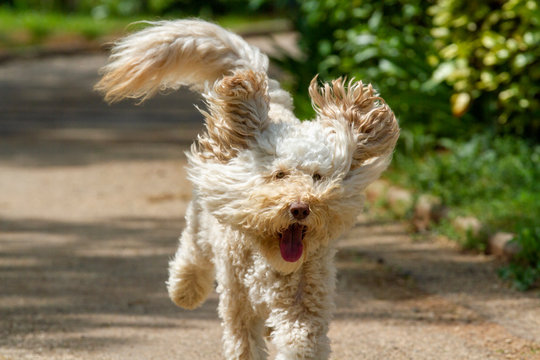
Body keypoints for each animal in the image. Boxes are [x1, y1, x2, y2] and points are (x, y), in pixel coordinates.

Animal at [96, 19, 400, 360]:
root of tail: (275, 111)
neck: (270, 259)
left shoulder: (305, 302)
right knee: (192, 248)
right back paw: (184, 289)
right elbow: (243, 343)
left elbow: (301, 341)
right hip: (203, 222)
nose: (300, 207)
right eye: (279, 175)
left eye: (318, 177)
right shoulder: (237, 301)